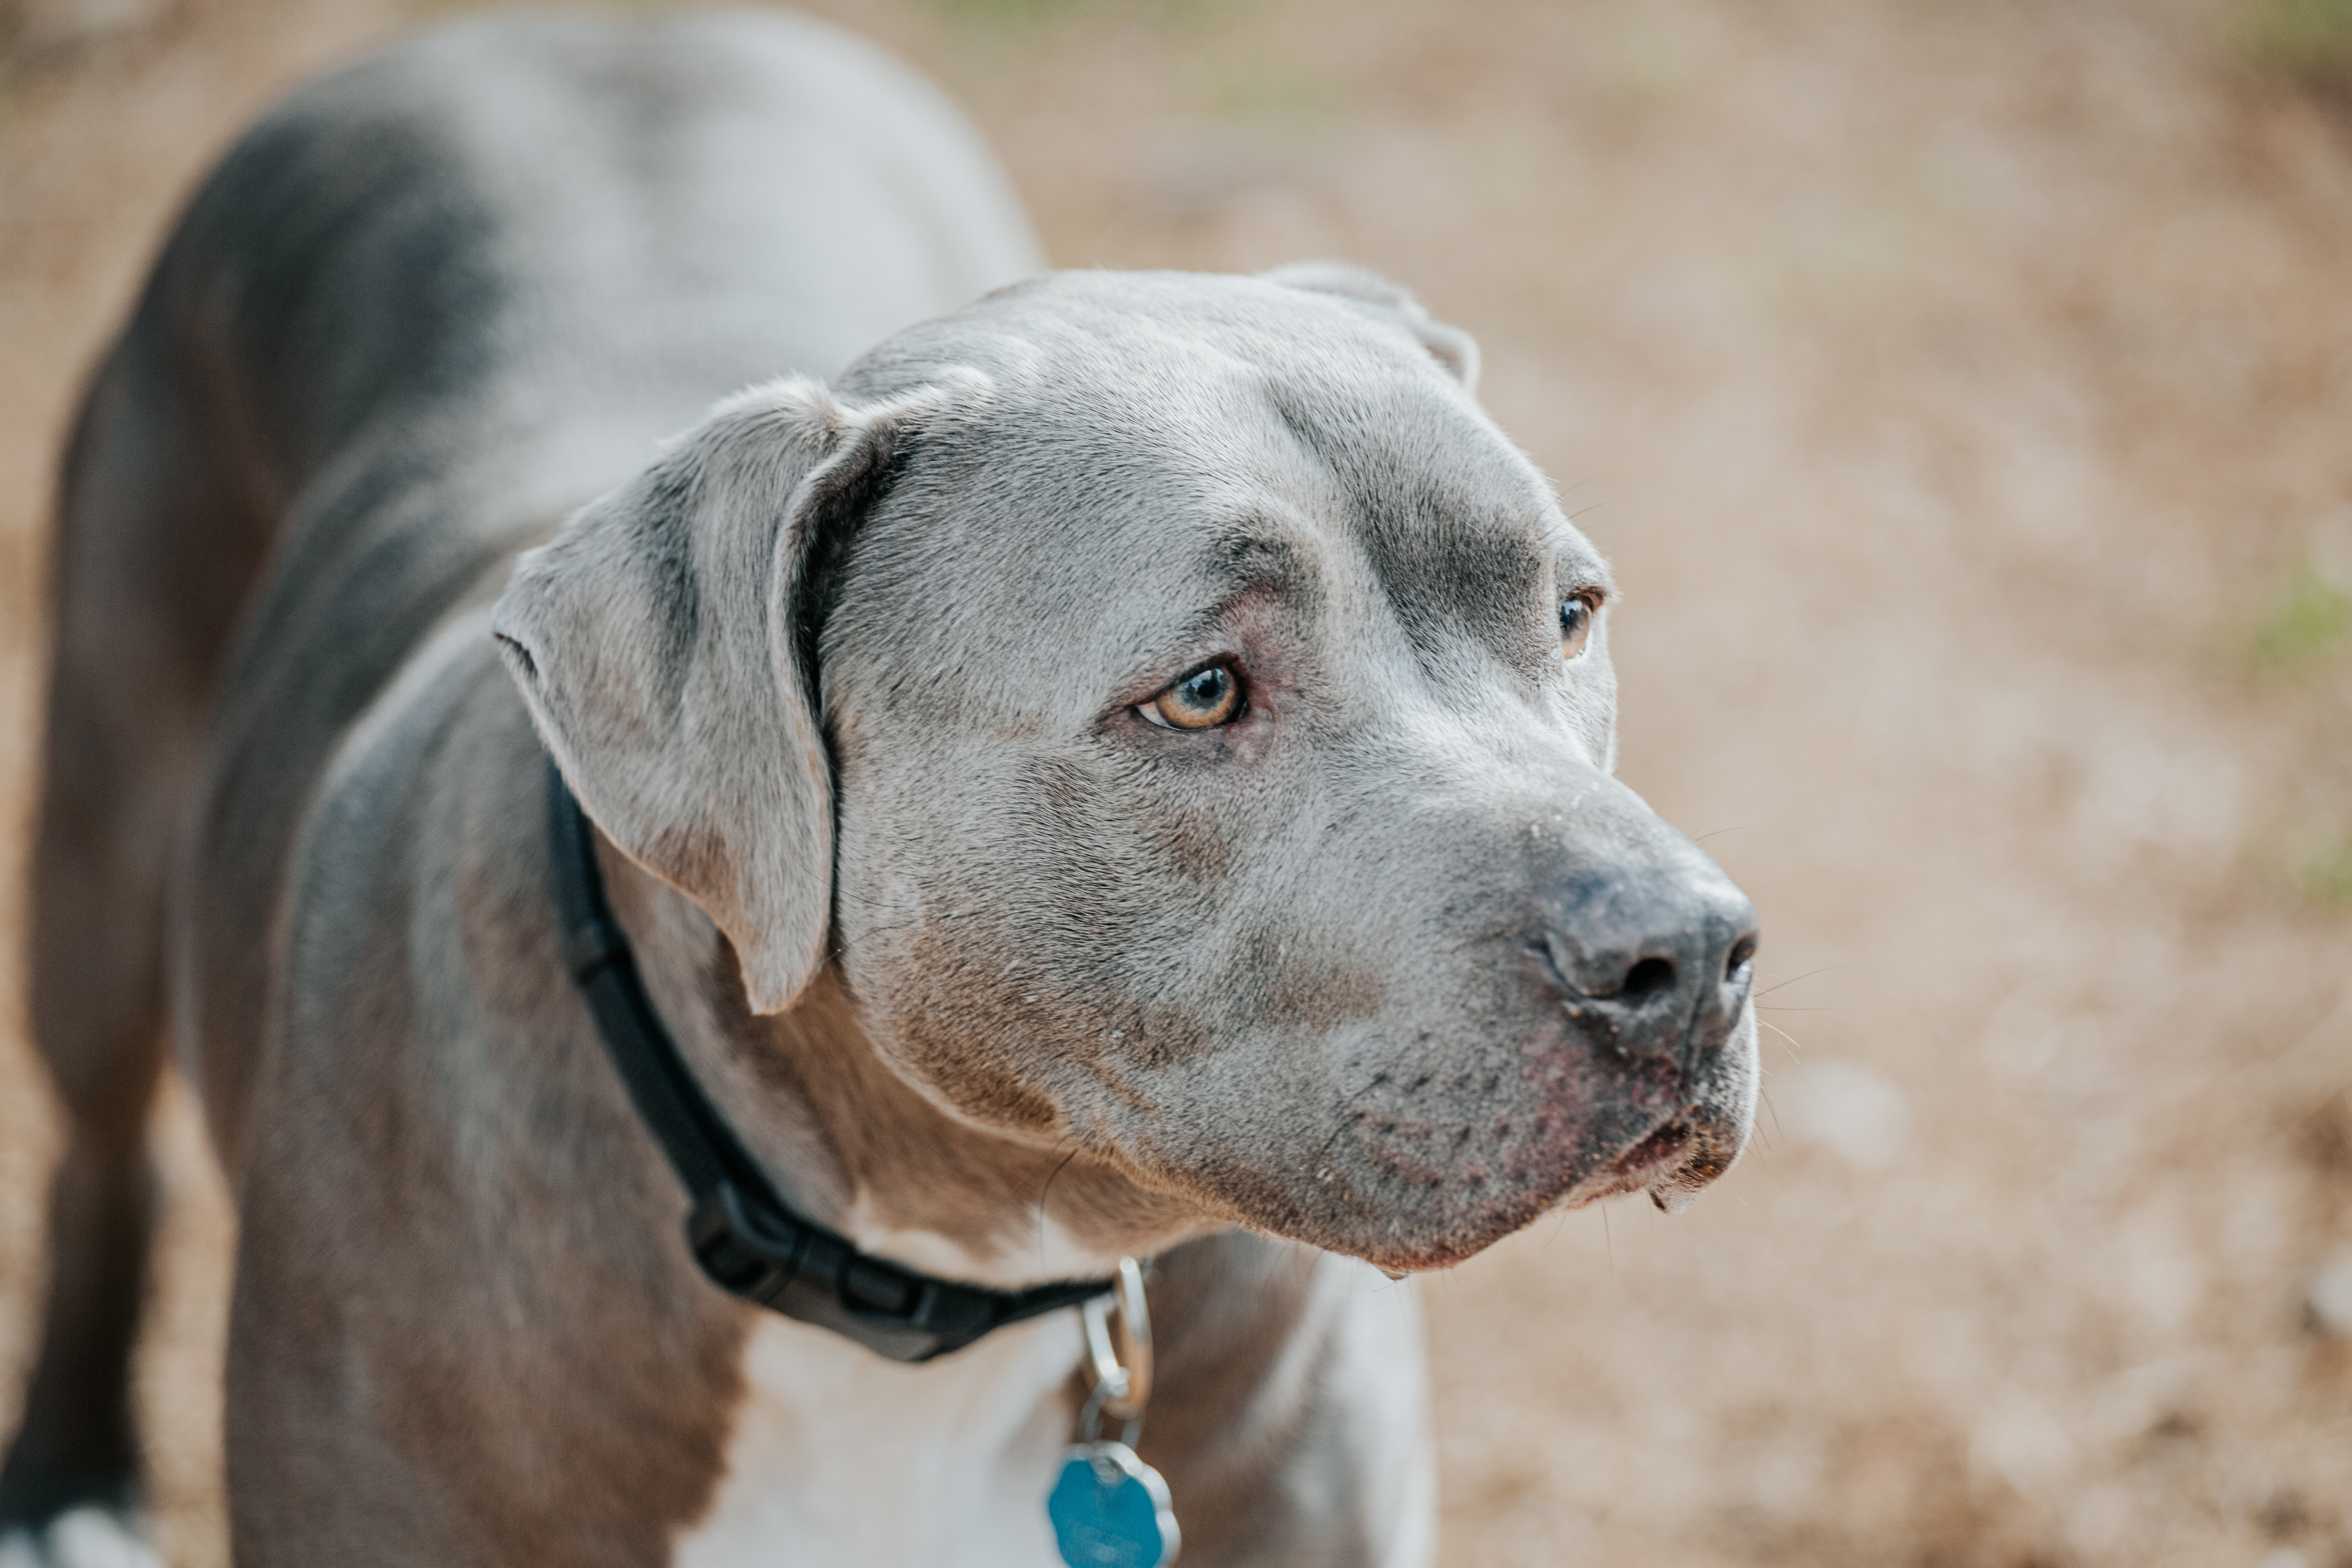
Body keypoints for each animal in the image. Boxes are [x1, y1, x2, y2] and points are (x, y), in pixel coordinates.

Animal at [0, 12, 1759, 1568]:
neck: (929, 1292)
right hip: (100, 850)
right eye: (1201, 693)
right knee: (99, 1151)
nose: (1690, 955)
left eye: (1571, 612)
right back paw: (69, 1482)